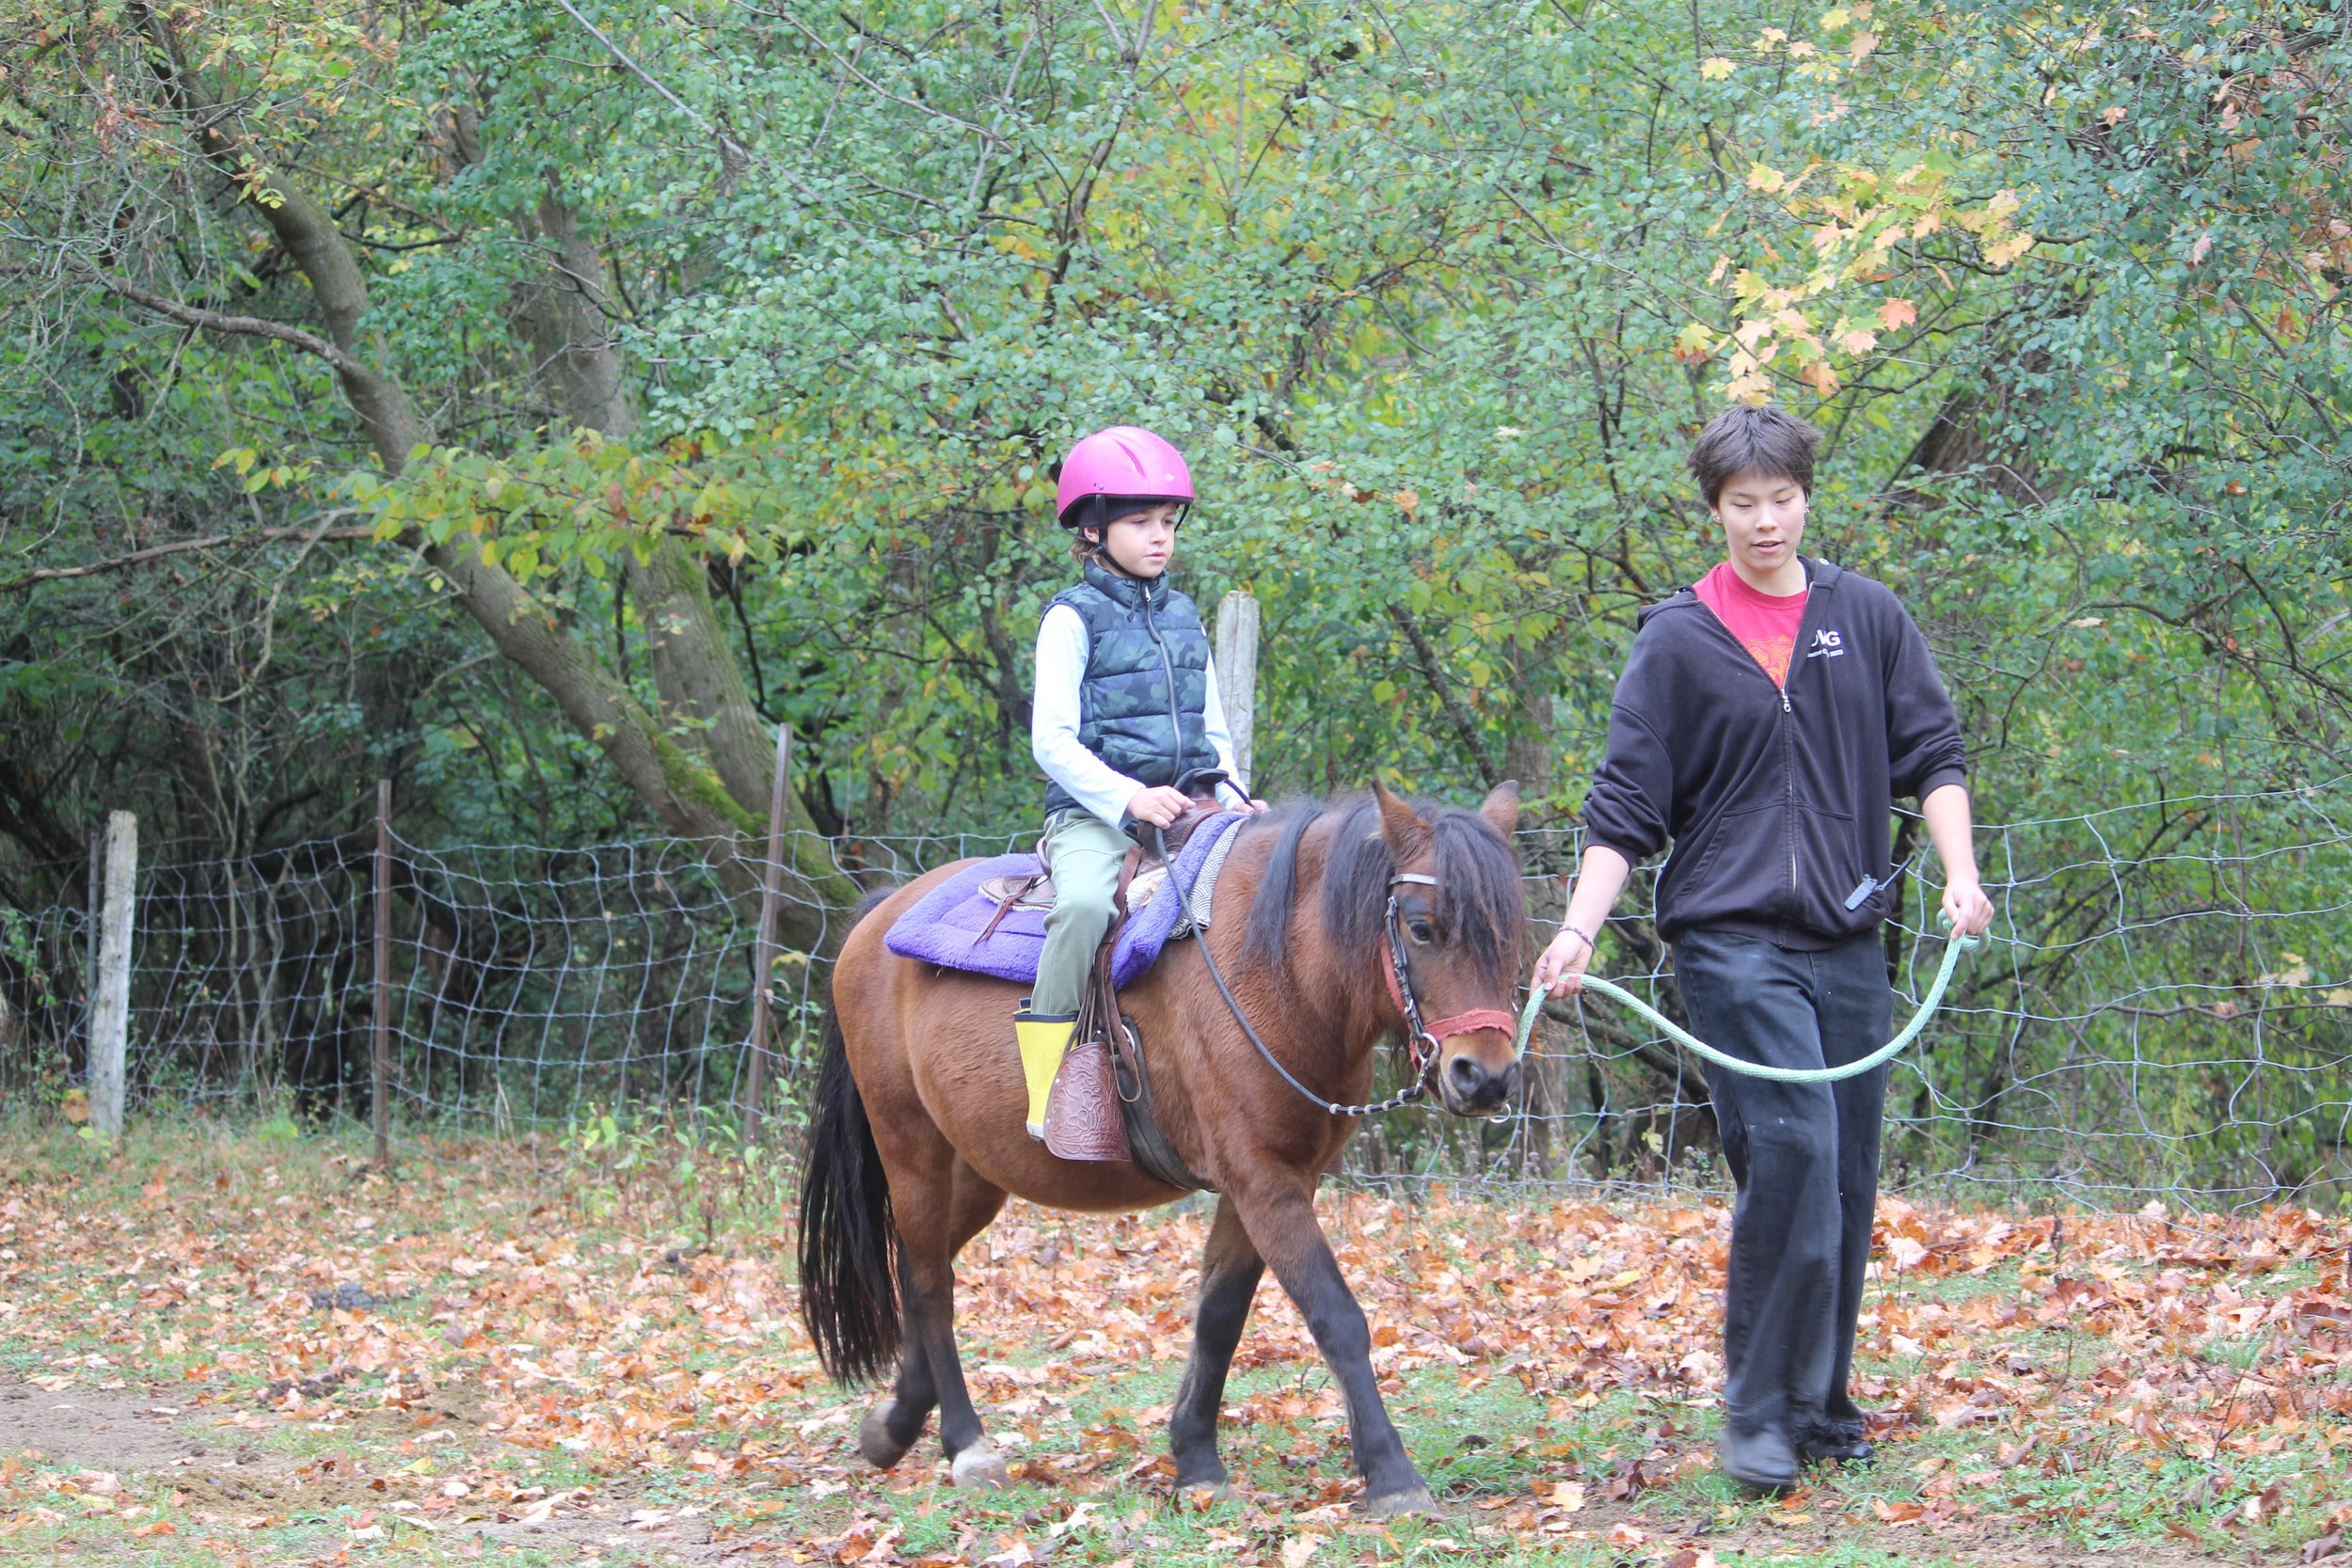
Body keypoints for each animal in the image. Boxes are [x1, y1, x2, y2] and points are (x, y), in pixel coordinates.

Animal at [796, 782, 1528, 1516]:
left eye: (1514, 934)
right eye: (1422, 927)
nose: (1484, 1076)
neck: (1273, 965)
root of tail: (877, 919)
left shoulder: (1267, 1184)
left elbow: (1219, 1319)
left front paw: (1196, 1458)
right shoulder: (1264, 1182)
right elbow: (1335, 1315)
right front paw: (1392, 1474)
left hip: (975, 1172)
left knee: (920, 1264)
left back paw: (896, 1421)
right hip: (910, 1149)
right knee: (928, 1284)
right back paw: (966, 1442)